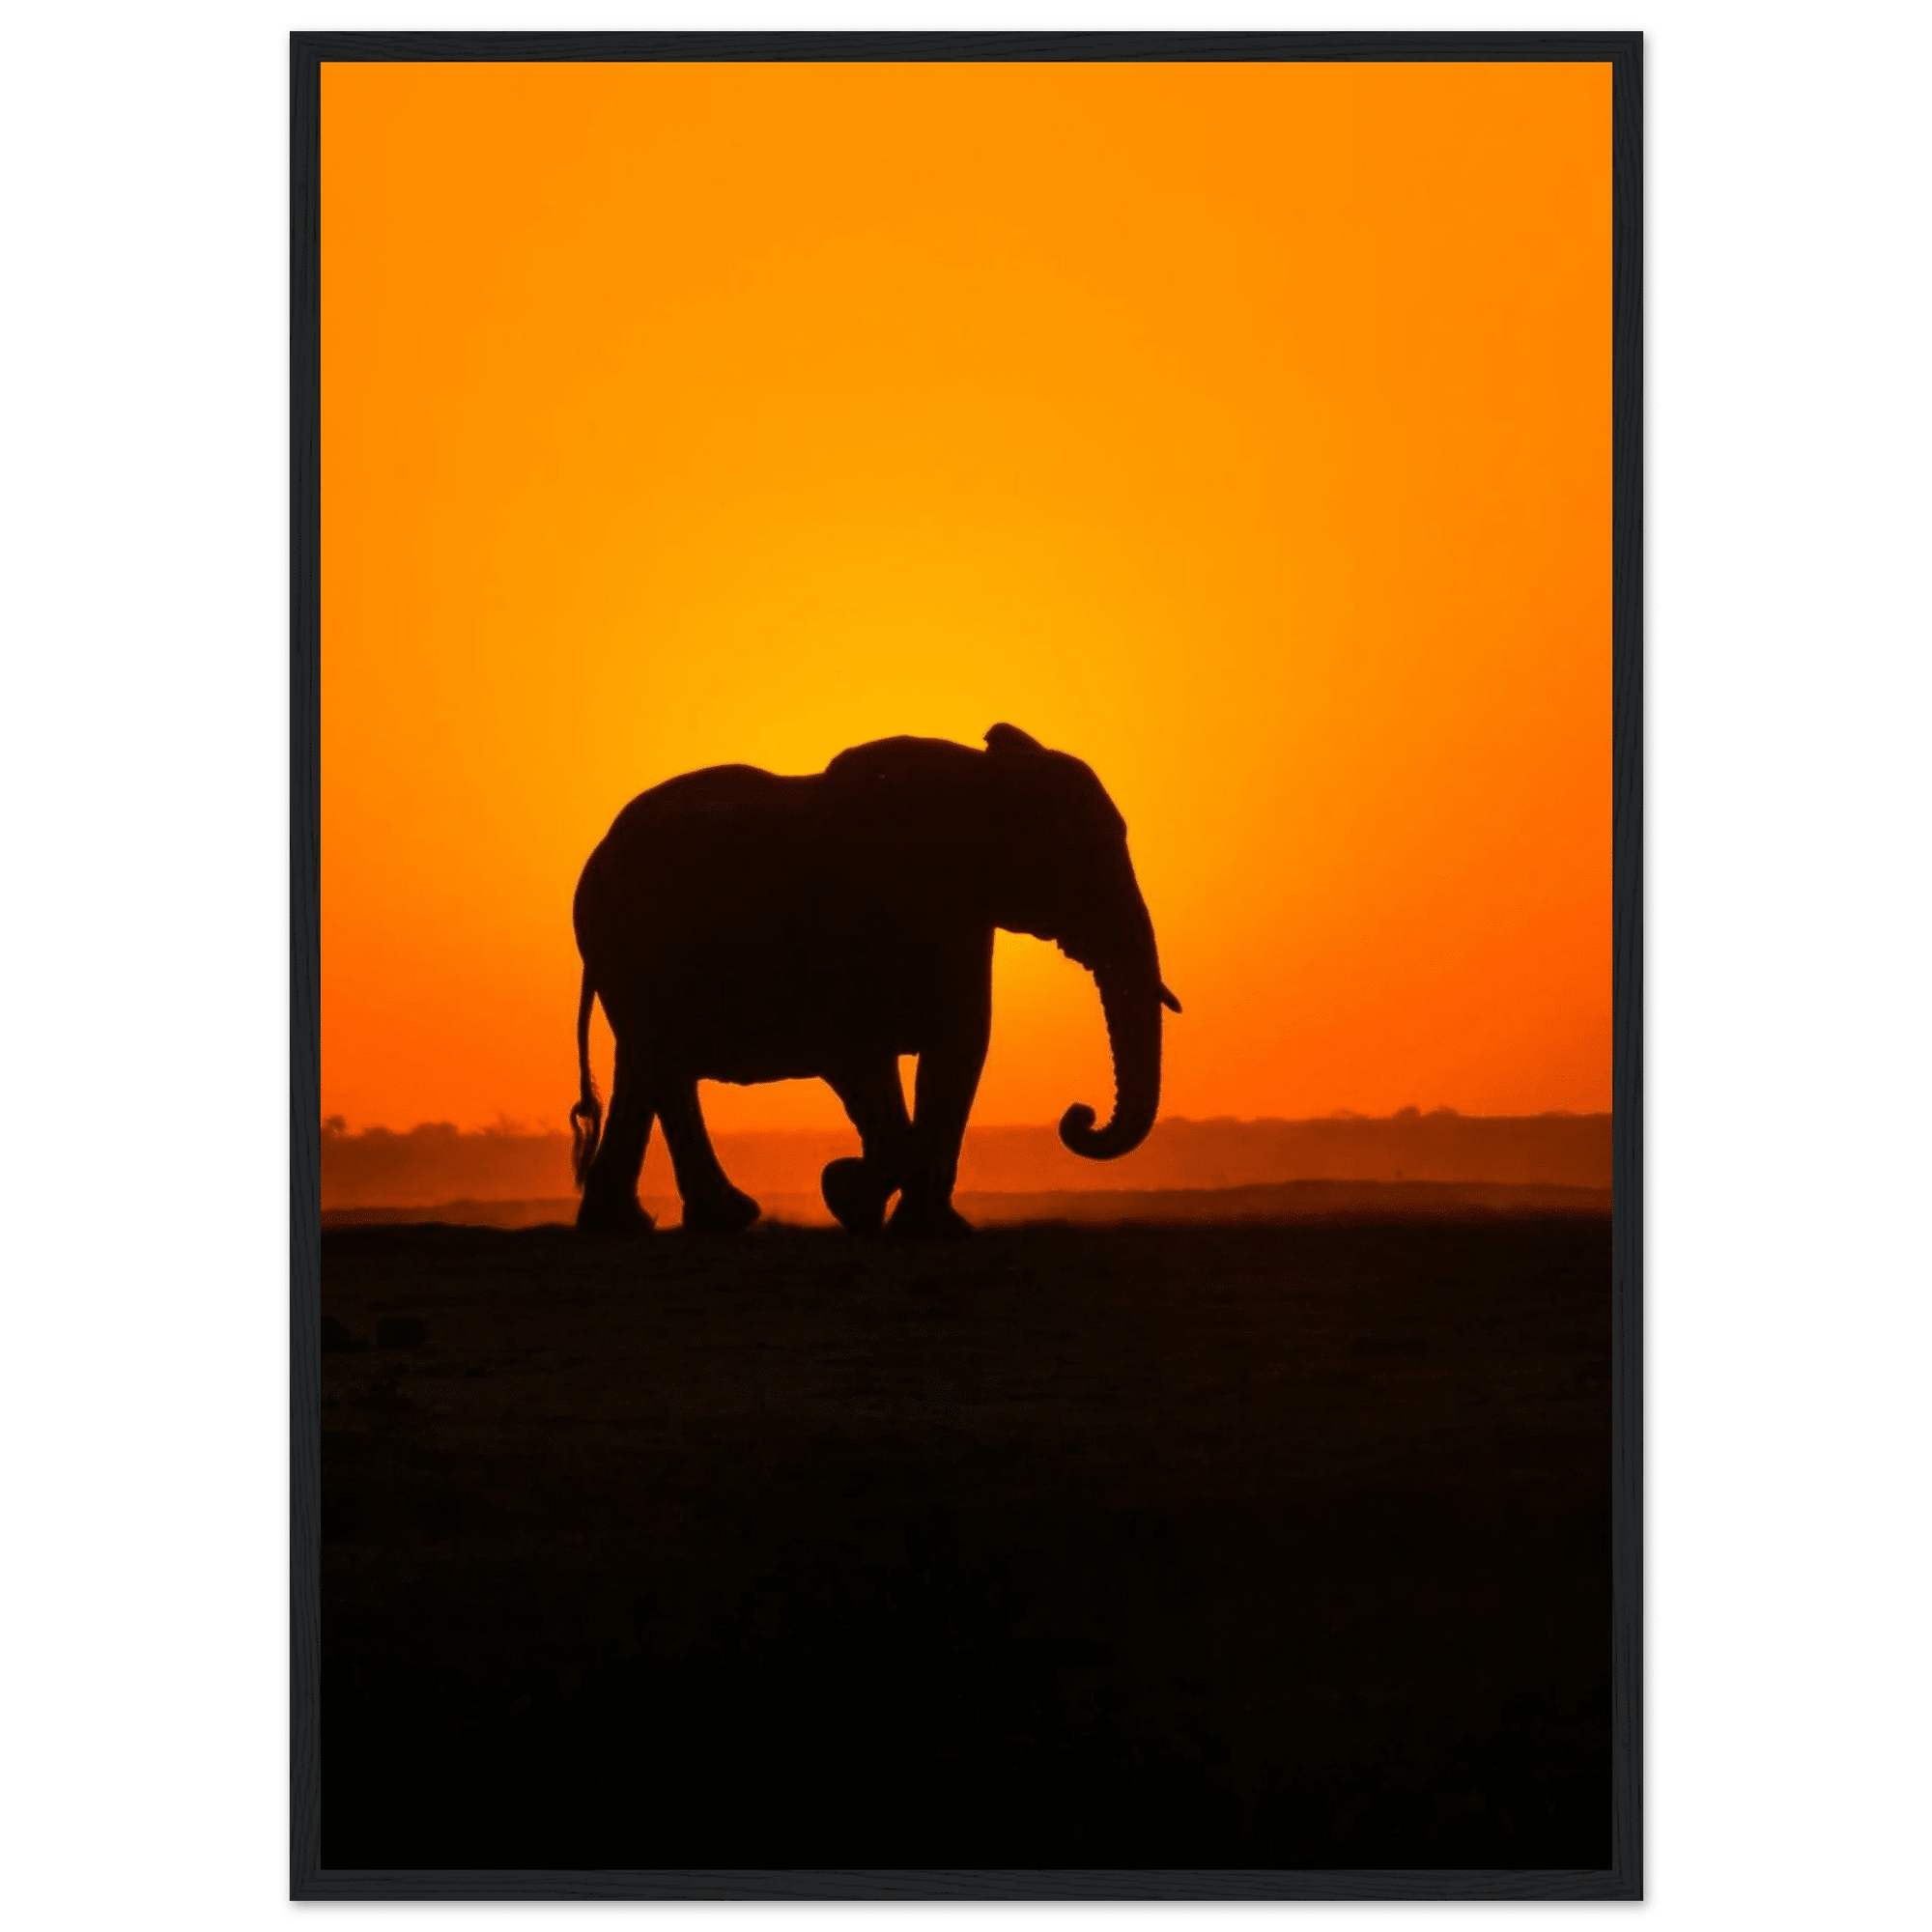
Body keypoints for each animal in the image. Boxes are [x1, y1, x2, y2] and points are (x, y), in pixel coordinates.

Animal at [567, 723, 1179, 1238]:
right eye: (1079, 855)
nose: (1078, 1116)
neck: (979, 779)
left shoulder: (962, 919)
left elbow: (958, 1053)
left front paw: (928, 1227)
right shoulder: (852, 921)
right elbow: (859, 1056)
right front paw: (847, 1193)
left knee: (650, 1066)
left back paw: (659, 1223)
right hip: (620, 942)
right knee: (658, 1062)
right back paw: (689, 1221)